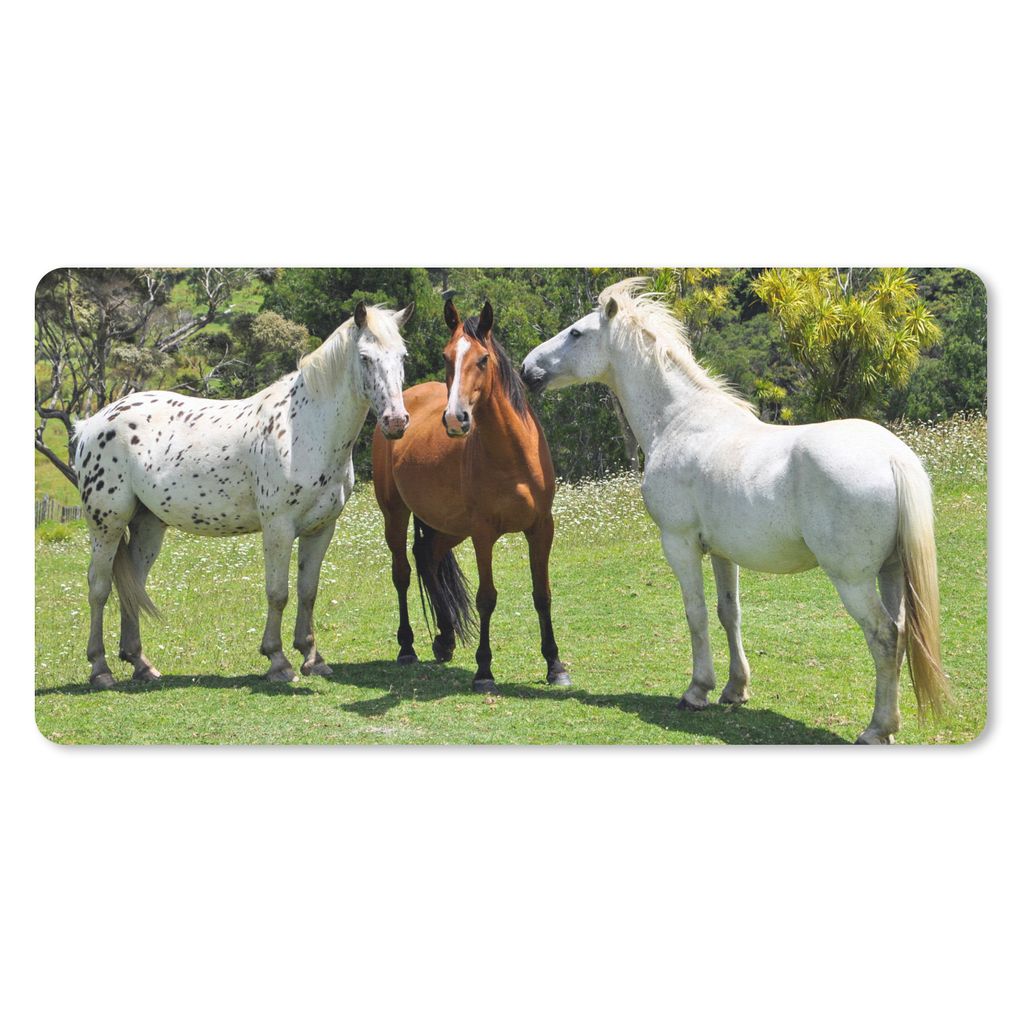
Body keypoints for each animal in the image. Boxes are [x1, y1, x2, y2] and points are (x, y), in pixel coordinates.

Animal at [73, 300, 414, 688]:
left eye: (402, 356)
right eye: (364, 357)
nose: (396, 422)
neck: (305, 427)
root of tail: (92, 423)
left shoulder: (320, 529)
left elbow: (308, 591)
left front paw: (313, 658)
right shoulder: (278, 528)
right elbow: (278, 593)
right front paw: (278, 661)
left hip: (148, 527)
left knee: (132, 586)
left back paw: (141, 664)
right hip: (107, 526)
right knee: (99, 587)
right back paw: (100, 669)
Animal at [371, 298, 571, 693]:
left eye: (482, 359)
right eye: (447, 356)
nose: (455, 419)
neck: (513, 455)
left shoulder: (542, 528)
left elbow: (542, 595)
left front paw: (555, 665)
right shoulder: (483, 534)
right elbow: (486, 598)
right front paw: (484, 671)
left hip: (449, 526)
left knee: (427, 557)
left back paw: (445, 638)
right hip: (396, 514)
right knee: (402, 573)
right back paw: (407, 647)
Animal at [521, 278, 949, 744]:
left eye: (576, 333)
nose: (527, 370)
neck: (678, 421)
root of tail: (893, 457)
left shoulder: (679, 544)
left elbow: (696, 613)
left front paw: (696, 691)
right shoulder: (724, 553)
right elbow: (729, 614)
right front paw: (734, 689)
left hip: (852, 580)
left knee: (884, 636)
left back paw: (876, 728)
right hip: (892, 572)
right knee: (902, 634)